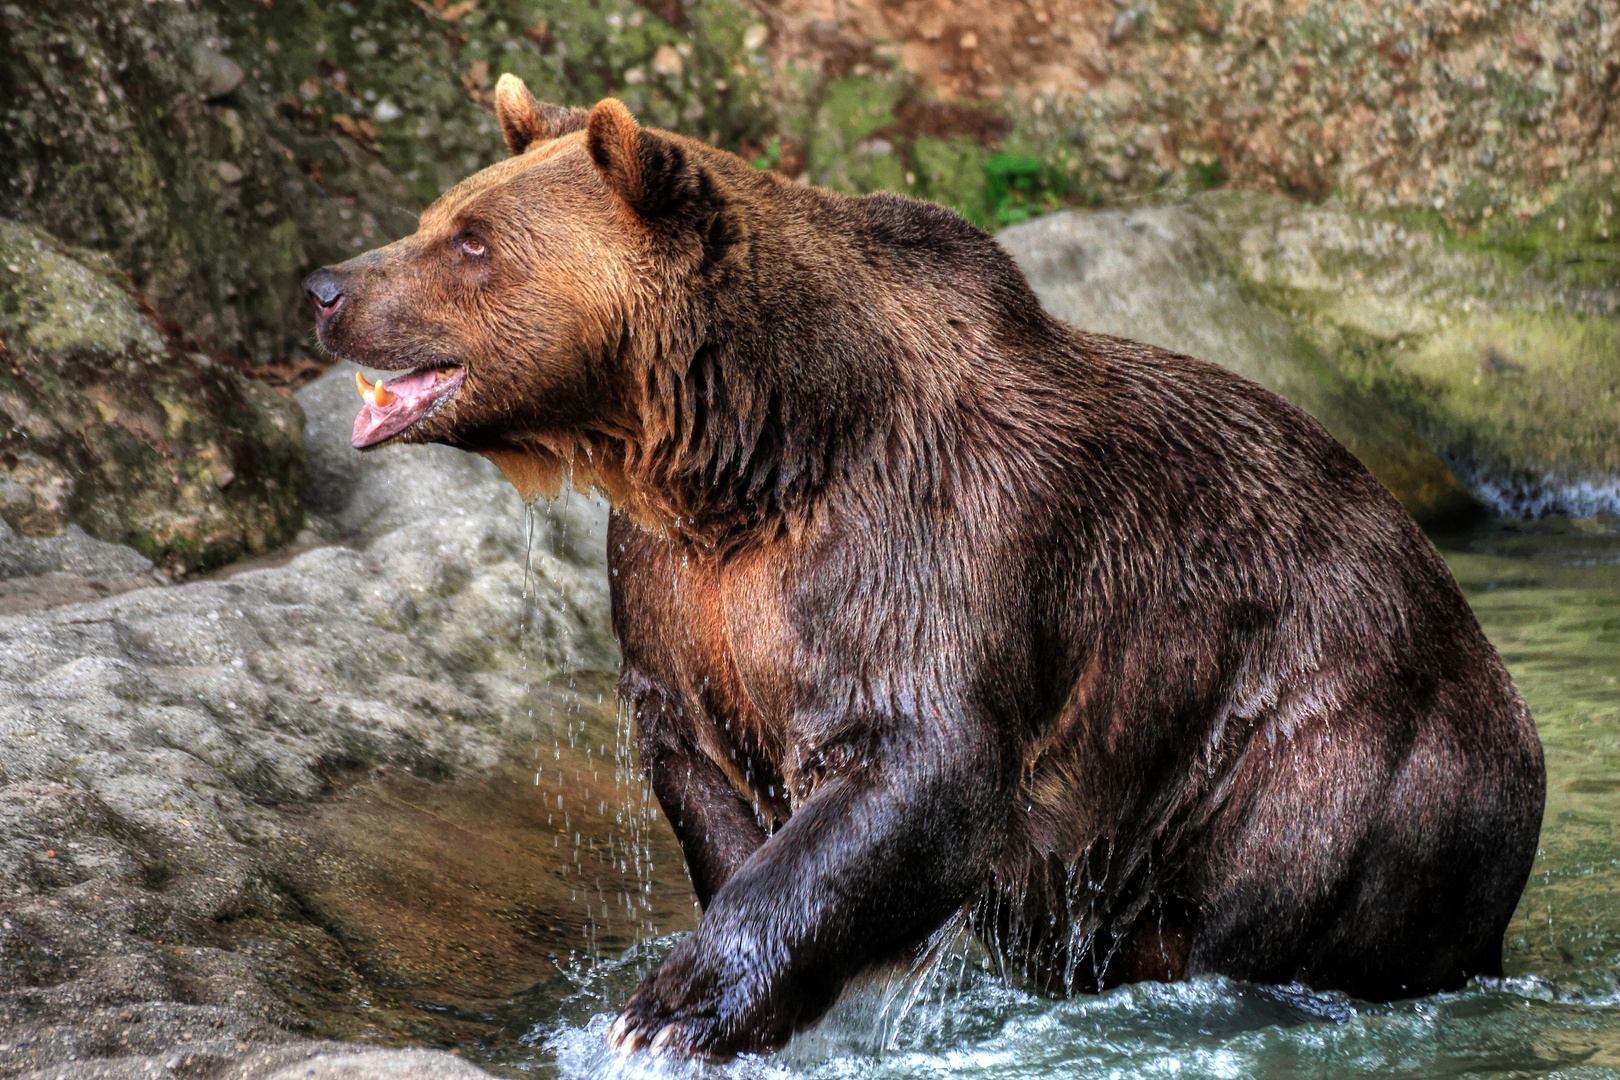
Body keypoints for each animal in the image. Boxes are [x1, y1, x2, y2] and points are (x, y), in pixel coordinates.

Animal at [301, 78, 1542, 1062]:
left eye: (472, 240)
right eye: (434, 216)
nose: (324, 287)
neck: (749, 458)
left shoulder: (927, 545)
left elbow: (922, 764)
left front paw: (672, 1007)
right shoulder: (677, 589)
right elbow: (700, 766)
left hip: (1324, 758)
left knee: (1265, 910)